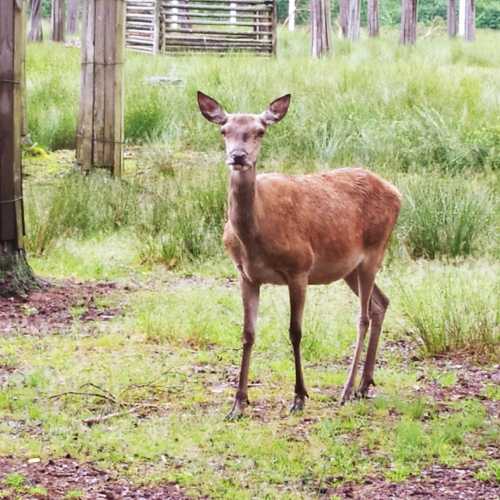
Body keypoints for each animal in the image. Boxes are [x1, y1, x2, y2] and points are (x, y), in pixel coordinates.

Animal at [197, 92, 400, 420]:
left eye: (260, 131)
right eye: (223, 131)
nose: (238, 156)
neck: (256, 238)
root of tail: (398, 193)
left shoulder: (300, 268)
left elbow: (295, 332)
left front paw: (300, 397)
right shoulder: (245, 275)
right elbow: (247, 333)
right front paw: (238, 403)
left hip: (375, 249)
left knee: (364, 315)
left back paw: (346, 390)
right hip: (349, 268)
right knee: (381, 303)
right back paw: (364, 384)